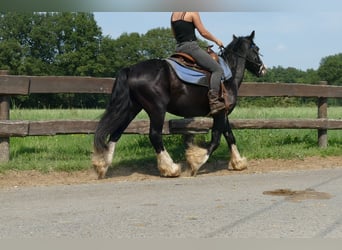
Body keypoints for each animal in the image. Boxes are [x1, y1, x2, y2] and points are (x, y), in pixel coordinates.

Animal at [92, 31, 266, 179]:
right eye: (256, 49)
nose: (263, 70)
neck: (228, 75)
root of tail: (131, 69)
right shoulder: (220, 114)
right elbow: (216, 140)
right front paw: (196, 162)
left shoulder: (222, 113)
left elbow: (230, 135)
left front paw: (238, 162)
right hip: (156, 110)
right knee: (154, 135)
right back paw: (170, 168)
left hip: (132, 108)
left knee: (116, 132)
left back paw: (102, 165)